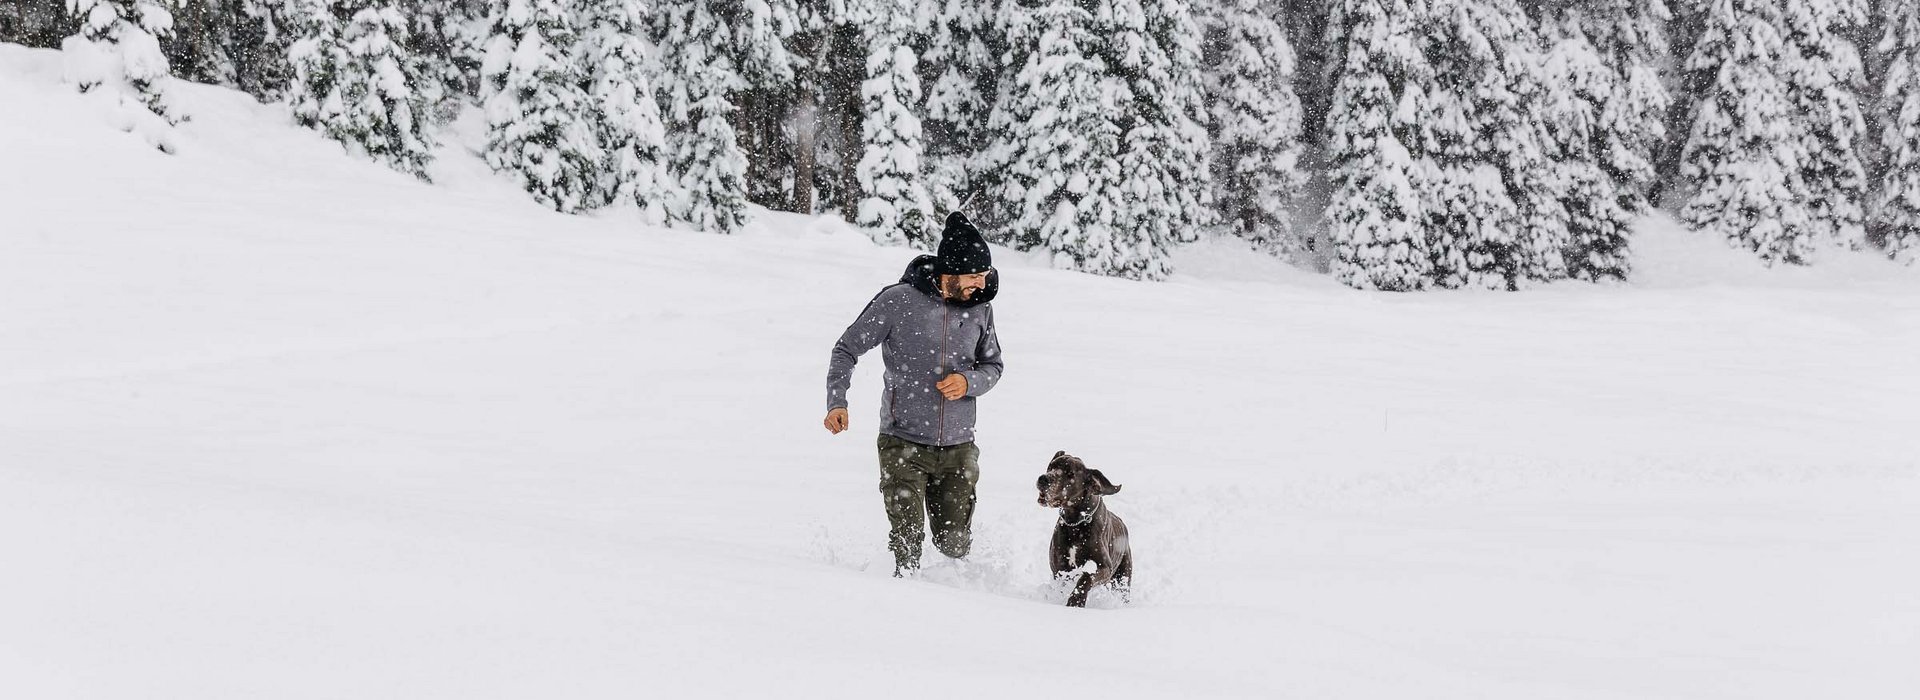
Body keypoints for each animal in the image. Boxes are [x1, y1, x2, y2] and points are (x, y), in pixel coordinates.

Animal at [1044, 452, 1128, 606]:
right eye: (1050, 467)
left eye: (1070, 474)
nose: (1043, 479)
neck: (1076, 524)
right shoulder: (1059, 568)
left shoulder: (1105, 567)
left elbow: (1086, 577)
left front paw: (1076, 600)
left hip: (1123, 577)